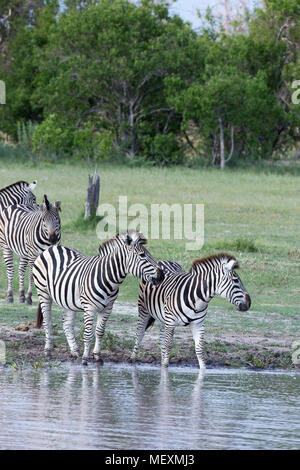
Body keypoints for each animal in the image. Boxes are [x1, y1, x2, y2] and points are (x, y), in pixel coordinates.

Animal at [32, 229, 163, 366]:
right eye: (142, 255)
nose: (162, 275)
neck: (109, 279)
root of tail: (52, 247)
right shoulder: (89, 308)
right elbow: (88, 334)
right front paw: (85, 359)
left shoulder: (108, 308)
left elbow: (100, 332)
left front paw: (97, 356)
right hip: (43, 292)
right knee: (47, 321)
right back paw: (48, 351)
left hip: (68, 300)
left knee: (67, 324)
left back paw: (75, 352)